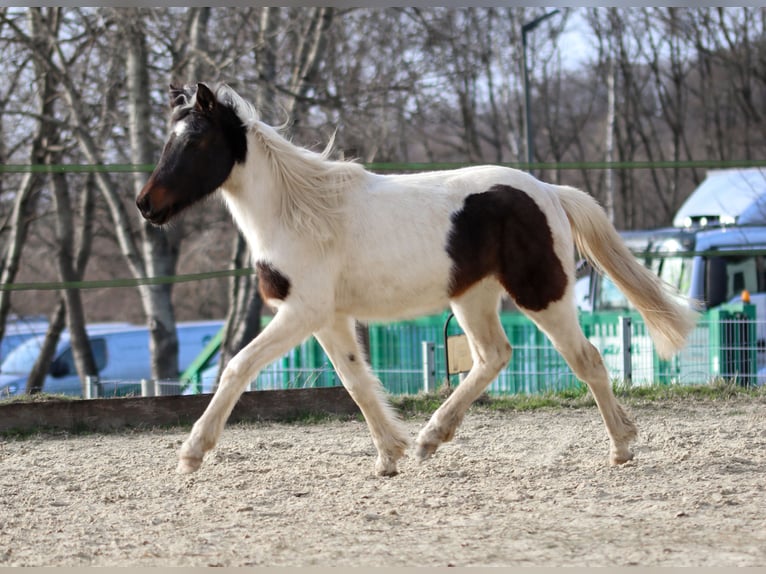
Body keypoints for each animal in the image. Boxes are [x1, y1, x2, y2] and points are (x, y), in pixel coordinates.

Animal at [137, 82, 698, 477]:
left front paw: (192, 453)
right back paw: (431, 438)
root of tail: (548, 191)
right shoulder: (328, 318)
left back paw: (621, 448)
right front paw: (391, 455)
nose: (146, 205)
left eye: (195, 139)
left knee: (587, 360)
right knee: (493, 357)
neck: (300, 213)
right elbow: (356, 381)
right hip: (473, 298)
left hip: (542, 294)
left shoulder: (302, 312)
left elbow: (238, 367)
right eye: (167, 139)